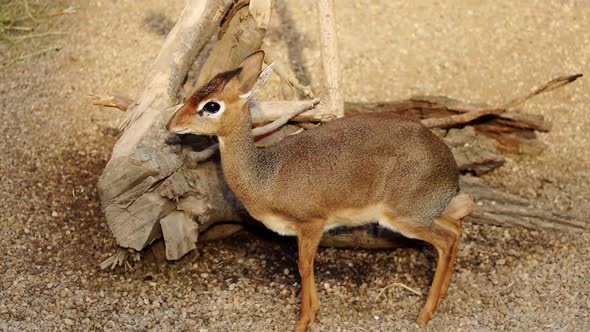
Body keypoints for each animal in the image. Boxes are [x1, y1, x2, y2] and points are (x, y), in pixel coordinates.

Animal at [166, 50, 476, 330]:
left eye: (211, 105)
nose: (171, 124)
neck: (266, 176)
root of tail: (450, 166)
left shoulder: (311, 224)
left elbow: (304, 267)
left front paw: (302, 322)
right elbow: (308, 267)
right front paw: (313, 314)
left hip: (403, 218)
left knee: (446, 239)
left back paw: (424, 314)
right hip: (426, 212)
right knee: (457, 226)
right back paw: (441, 296)